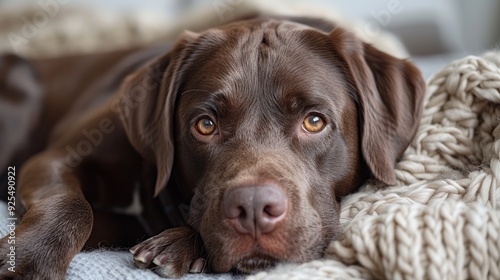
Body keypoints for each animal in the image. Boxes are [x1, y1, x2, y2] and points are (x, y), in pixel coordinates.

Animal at [0, 16, 426, 278]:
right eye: (205, 125)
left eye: (314, 121)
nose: (253, 208)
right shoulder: (52, 160)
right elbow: (72, 206)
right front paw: (28, 264)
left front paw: (178, 245)